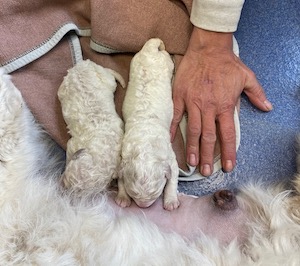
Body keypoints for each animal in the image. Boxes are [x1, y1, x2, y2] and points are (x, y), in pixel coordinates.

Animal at [116, 38, 179, 211]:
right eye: (133, 194)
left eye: (155, 194)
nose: (143, 206)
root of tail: (150, 49)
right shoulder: (123, 158)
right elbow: (120, 177)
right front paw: (122, 198)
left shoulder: (170, 158)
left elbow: (173, 178)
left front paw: (171, 201)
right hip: (135, 60)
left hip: (165, 62)